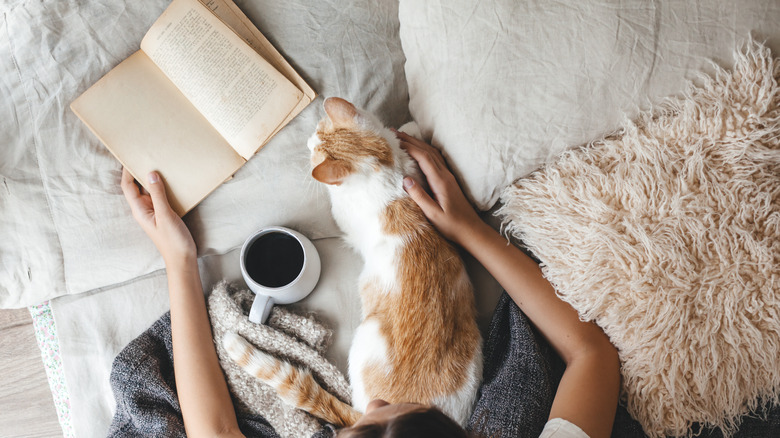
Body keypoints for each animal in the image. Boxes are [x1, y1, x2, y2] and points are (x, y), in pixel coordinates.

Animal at [225, 96, 482, 428]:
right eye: (318, 131)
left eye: (316, 148)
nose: (308, 142)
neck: (383, 171)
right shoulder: (415, 174)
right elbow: (408, 138)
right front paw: (408, 130)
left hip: (366, 336)